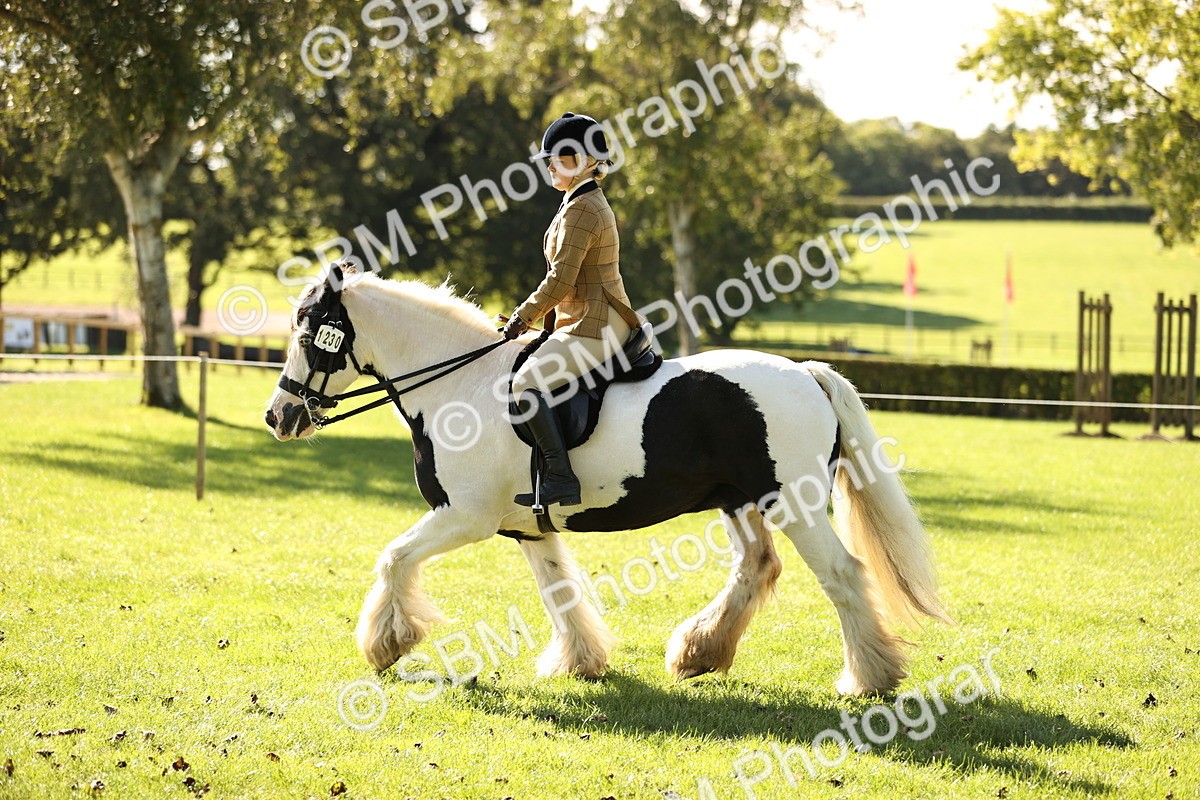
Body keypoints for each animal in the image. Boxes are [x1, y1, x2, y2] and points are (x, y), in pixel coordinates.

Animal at [264, 269, 951, 696]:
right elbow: (560, 592)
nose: (279, 417)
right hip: (740, 502)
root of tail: (807, 373)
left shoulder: (465, 518)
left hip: (796, 504)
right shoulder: (527, 527)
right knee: (758, 566)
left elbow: (393, 558)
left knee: (841, 575)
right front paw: (581, 662)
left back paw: (869, 678)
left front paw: (387, 644)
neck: (460, 386)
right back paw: (699, 652)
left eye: (308, 331)